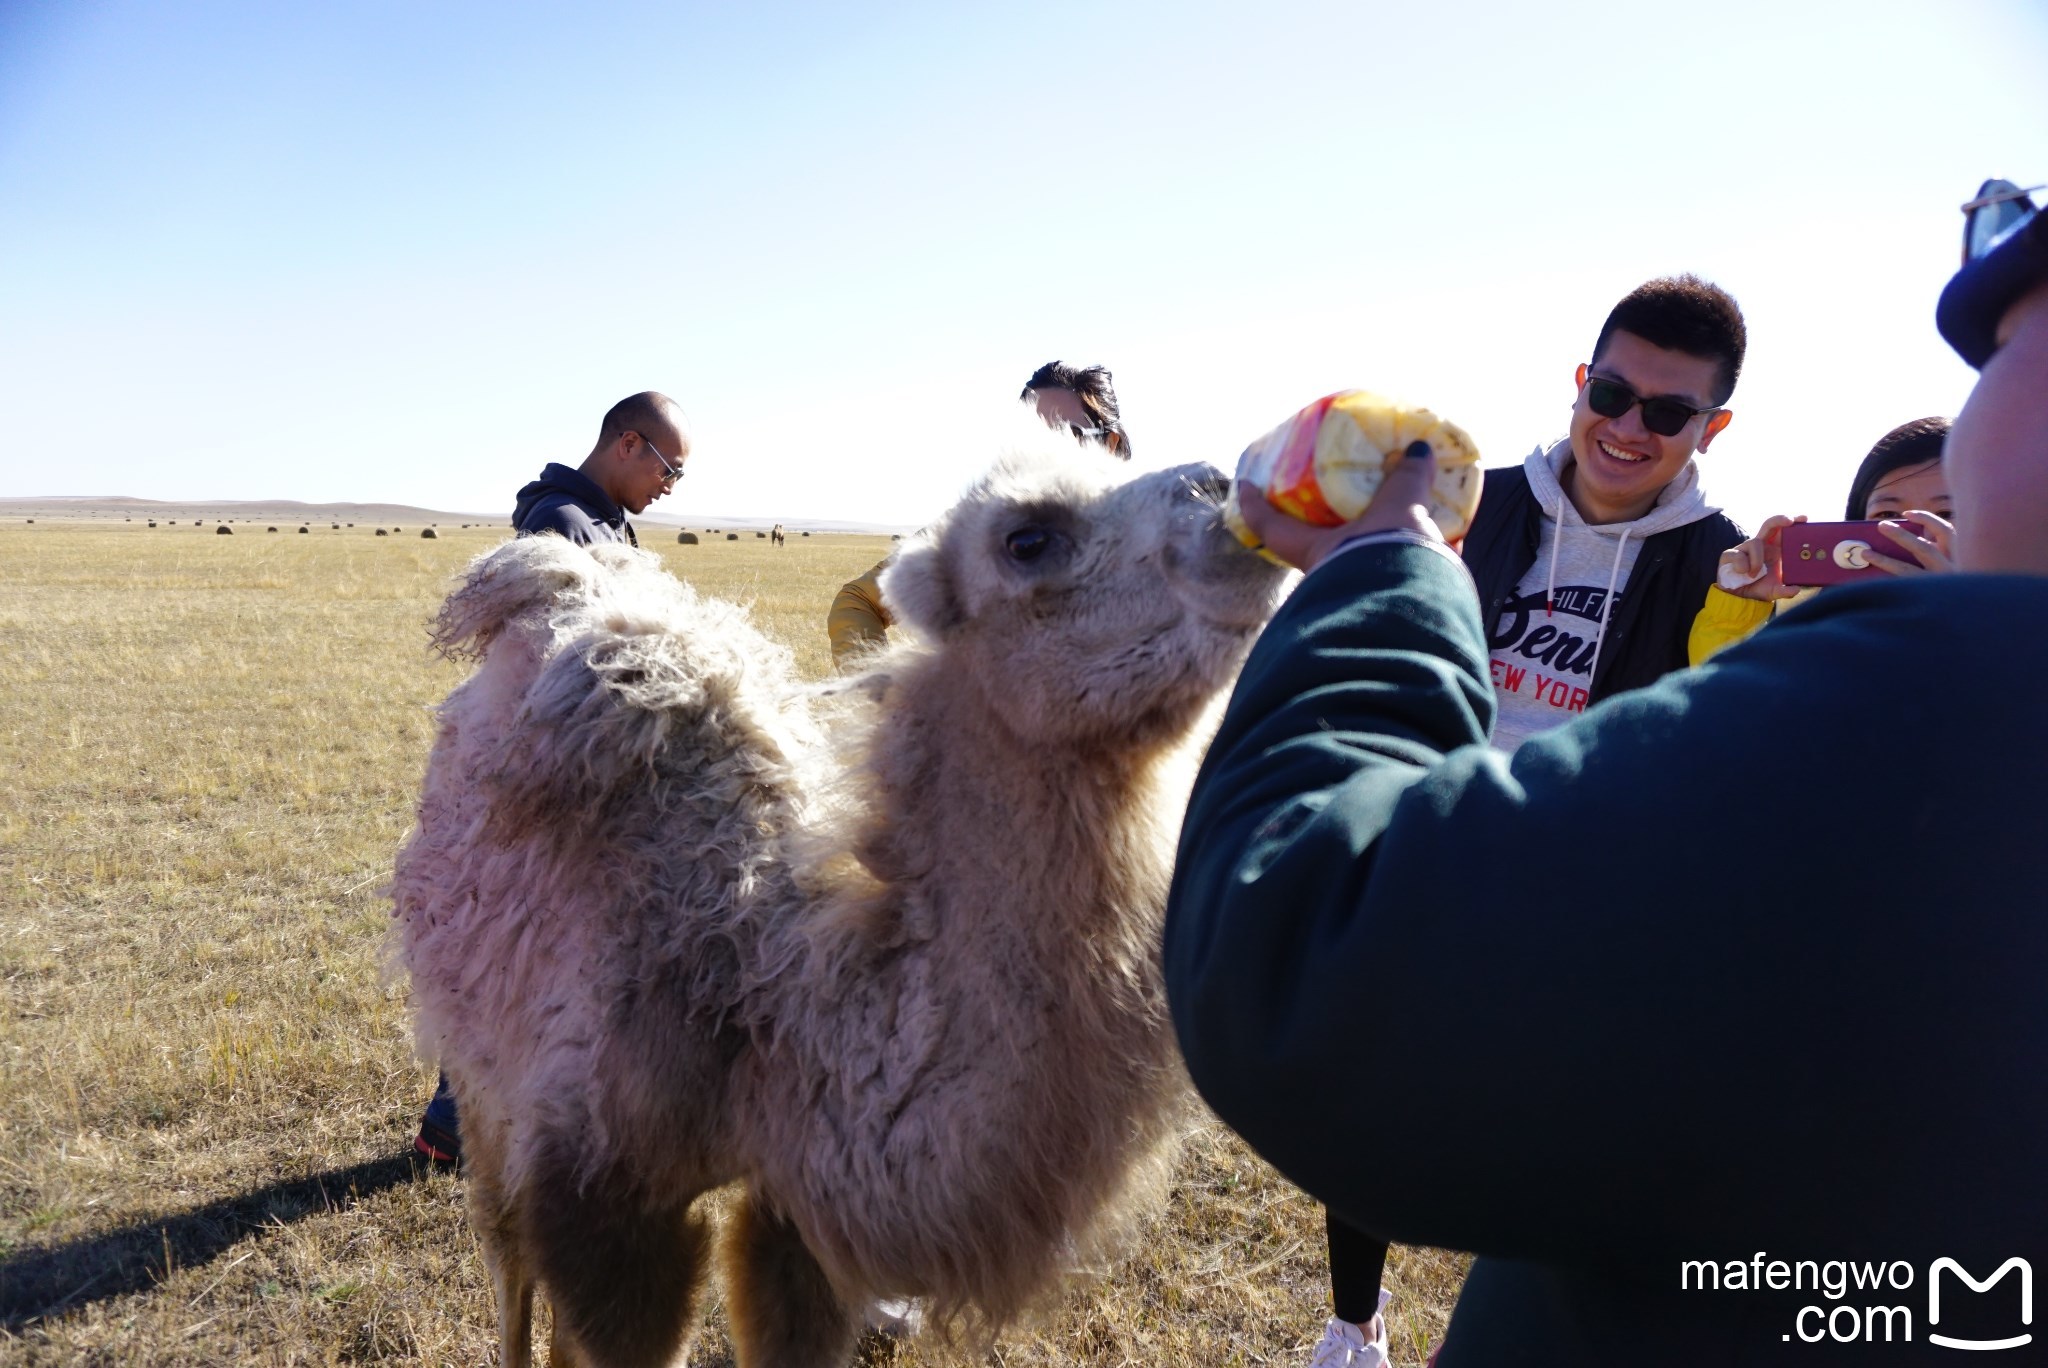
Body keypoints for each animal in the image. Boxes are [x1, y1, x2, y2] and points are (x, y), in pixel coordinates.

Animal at [391, 440, 1286, 1368]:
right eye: (1028, 538)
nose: (1223, 488)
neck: (764, 1001)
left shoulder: (793, 1214)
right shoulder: (599, 1184)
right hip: (477, 1052)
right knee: (506, 1248)